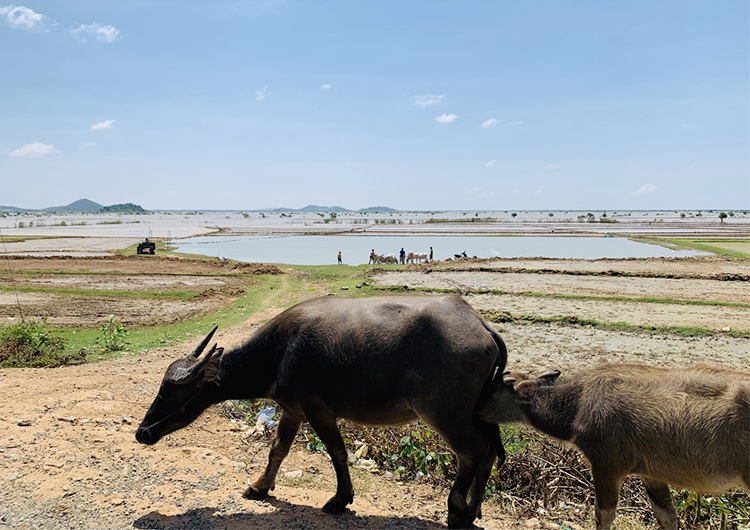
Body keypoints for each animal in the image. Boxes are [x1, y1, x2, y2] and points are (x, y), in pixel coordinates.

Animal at [137, 294, 508, 524]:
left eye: (168, 391)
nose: (142, 433)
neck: (279, 353)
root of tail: (480, 324)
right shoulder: (292, 410)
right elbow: (277, 450)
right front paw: (259, 486)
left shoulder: (319, 411)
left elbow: (338, 453)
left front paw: (340, 499)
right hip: (475, 411)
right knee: (490, 449)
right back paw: (474, 508)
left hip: (445, 413)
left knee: (472, 451)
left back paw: (457, 511)